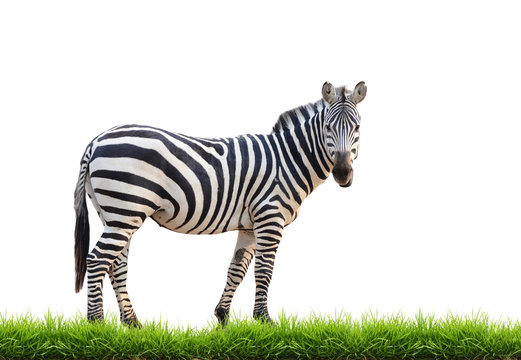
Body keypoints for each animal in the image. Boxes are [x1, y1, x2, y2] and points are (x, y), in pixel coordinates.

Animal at [73, 81, 368, 326]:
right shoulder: (270, 217)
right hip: (125, 210)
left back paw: (133, 323)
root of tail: (95, 141)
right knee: (97, 260)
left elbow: (236, 269)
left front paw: (223, 317)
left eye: (357, 128)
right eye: (328, 128)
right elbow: (264, 270)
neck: (288, 159)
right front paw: (265, 321)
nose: (343, 173)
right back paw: (97, 323)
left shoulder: (250, 225)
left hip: (115, 214)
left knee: (116, 265)